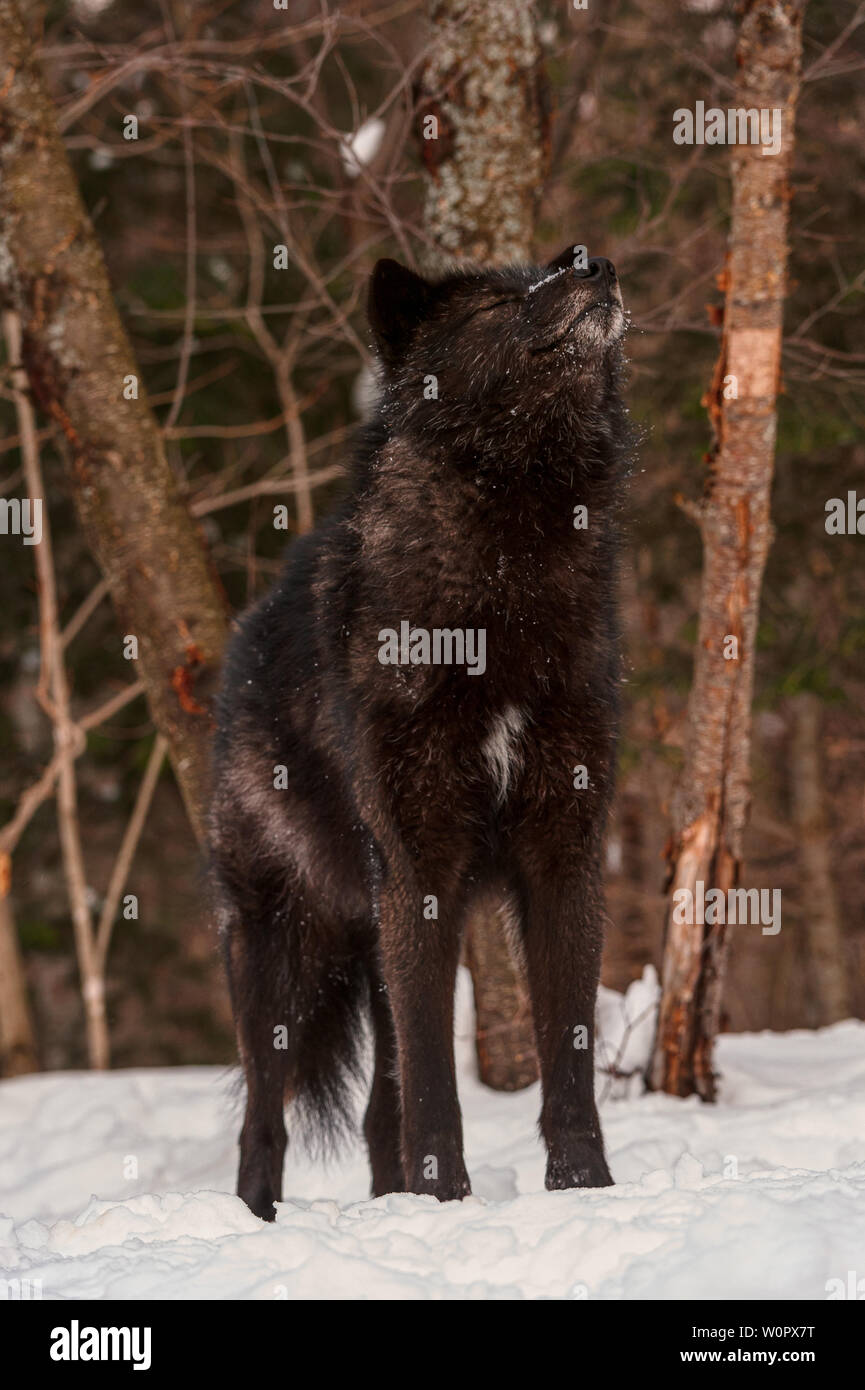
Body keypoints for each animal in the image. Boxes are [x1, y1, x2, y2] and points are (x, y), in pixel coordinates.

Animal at [210, 245, 630, 1220]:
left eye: (551, 265)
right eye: (493, 305)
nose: (593, 262)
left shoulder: (564, 857)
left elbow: (568, 1067)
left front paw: (585, 1193)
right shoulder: (421, 874)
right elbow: (438, 1087)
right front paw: (448, 1206)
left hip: (373, 939)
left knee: (375, 1114)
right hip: (281, 952)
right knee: (264, 1119)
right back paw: (255, 1222)